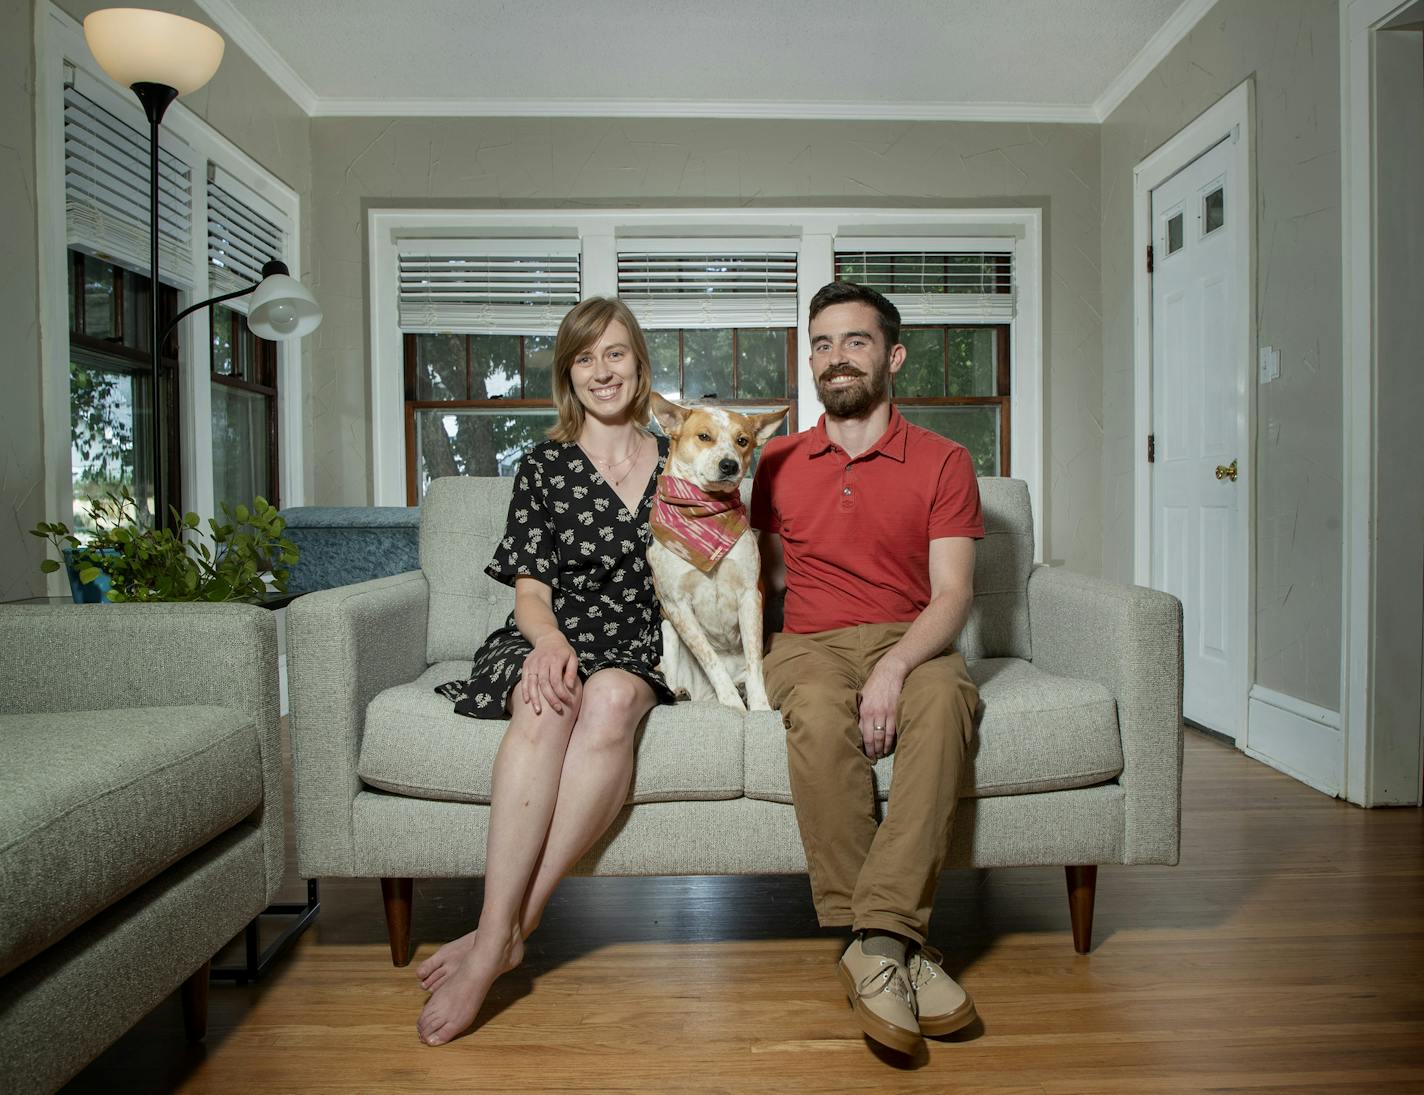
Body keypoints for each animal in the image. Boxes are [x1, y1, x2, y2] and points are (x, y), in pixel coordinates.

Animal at [649, 390, 791, 709]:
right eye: (704, 436)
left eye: (743, 441)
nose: (730, 465)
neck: (705, 513)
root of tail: (704, 696)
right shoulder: (677, 606)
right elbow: (710, 660)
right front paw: (732, 705)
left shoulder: (750, 596)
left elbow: (754, 663)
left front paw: (759, 707)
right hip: (668, 631)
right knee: (672, 675)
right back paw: (680, 692)